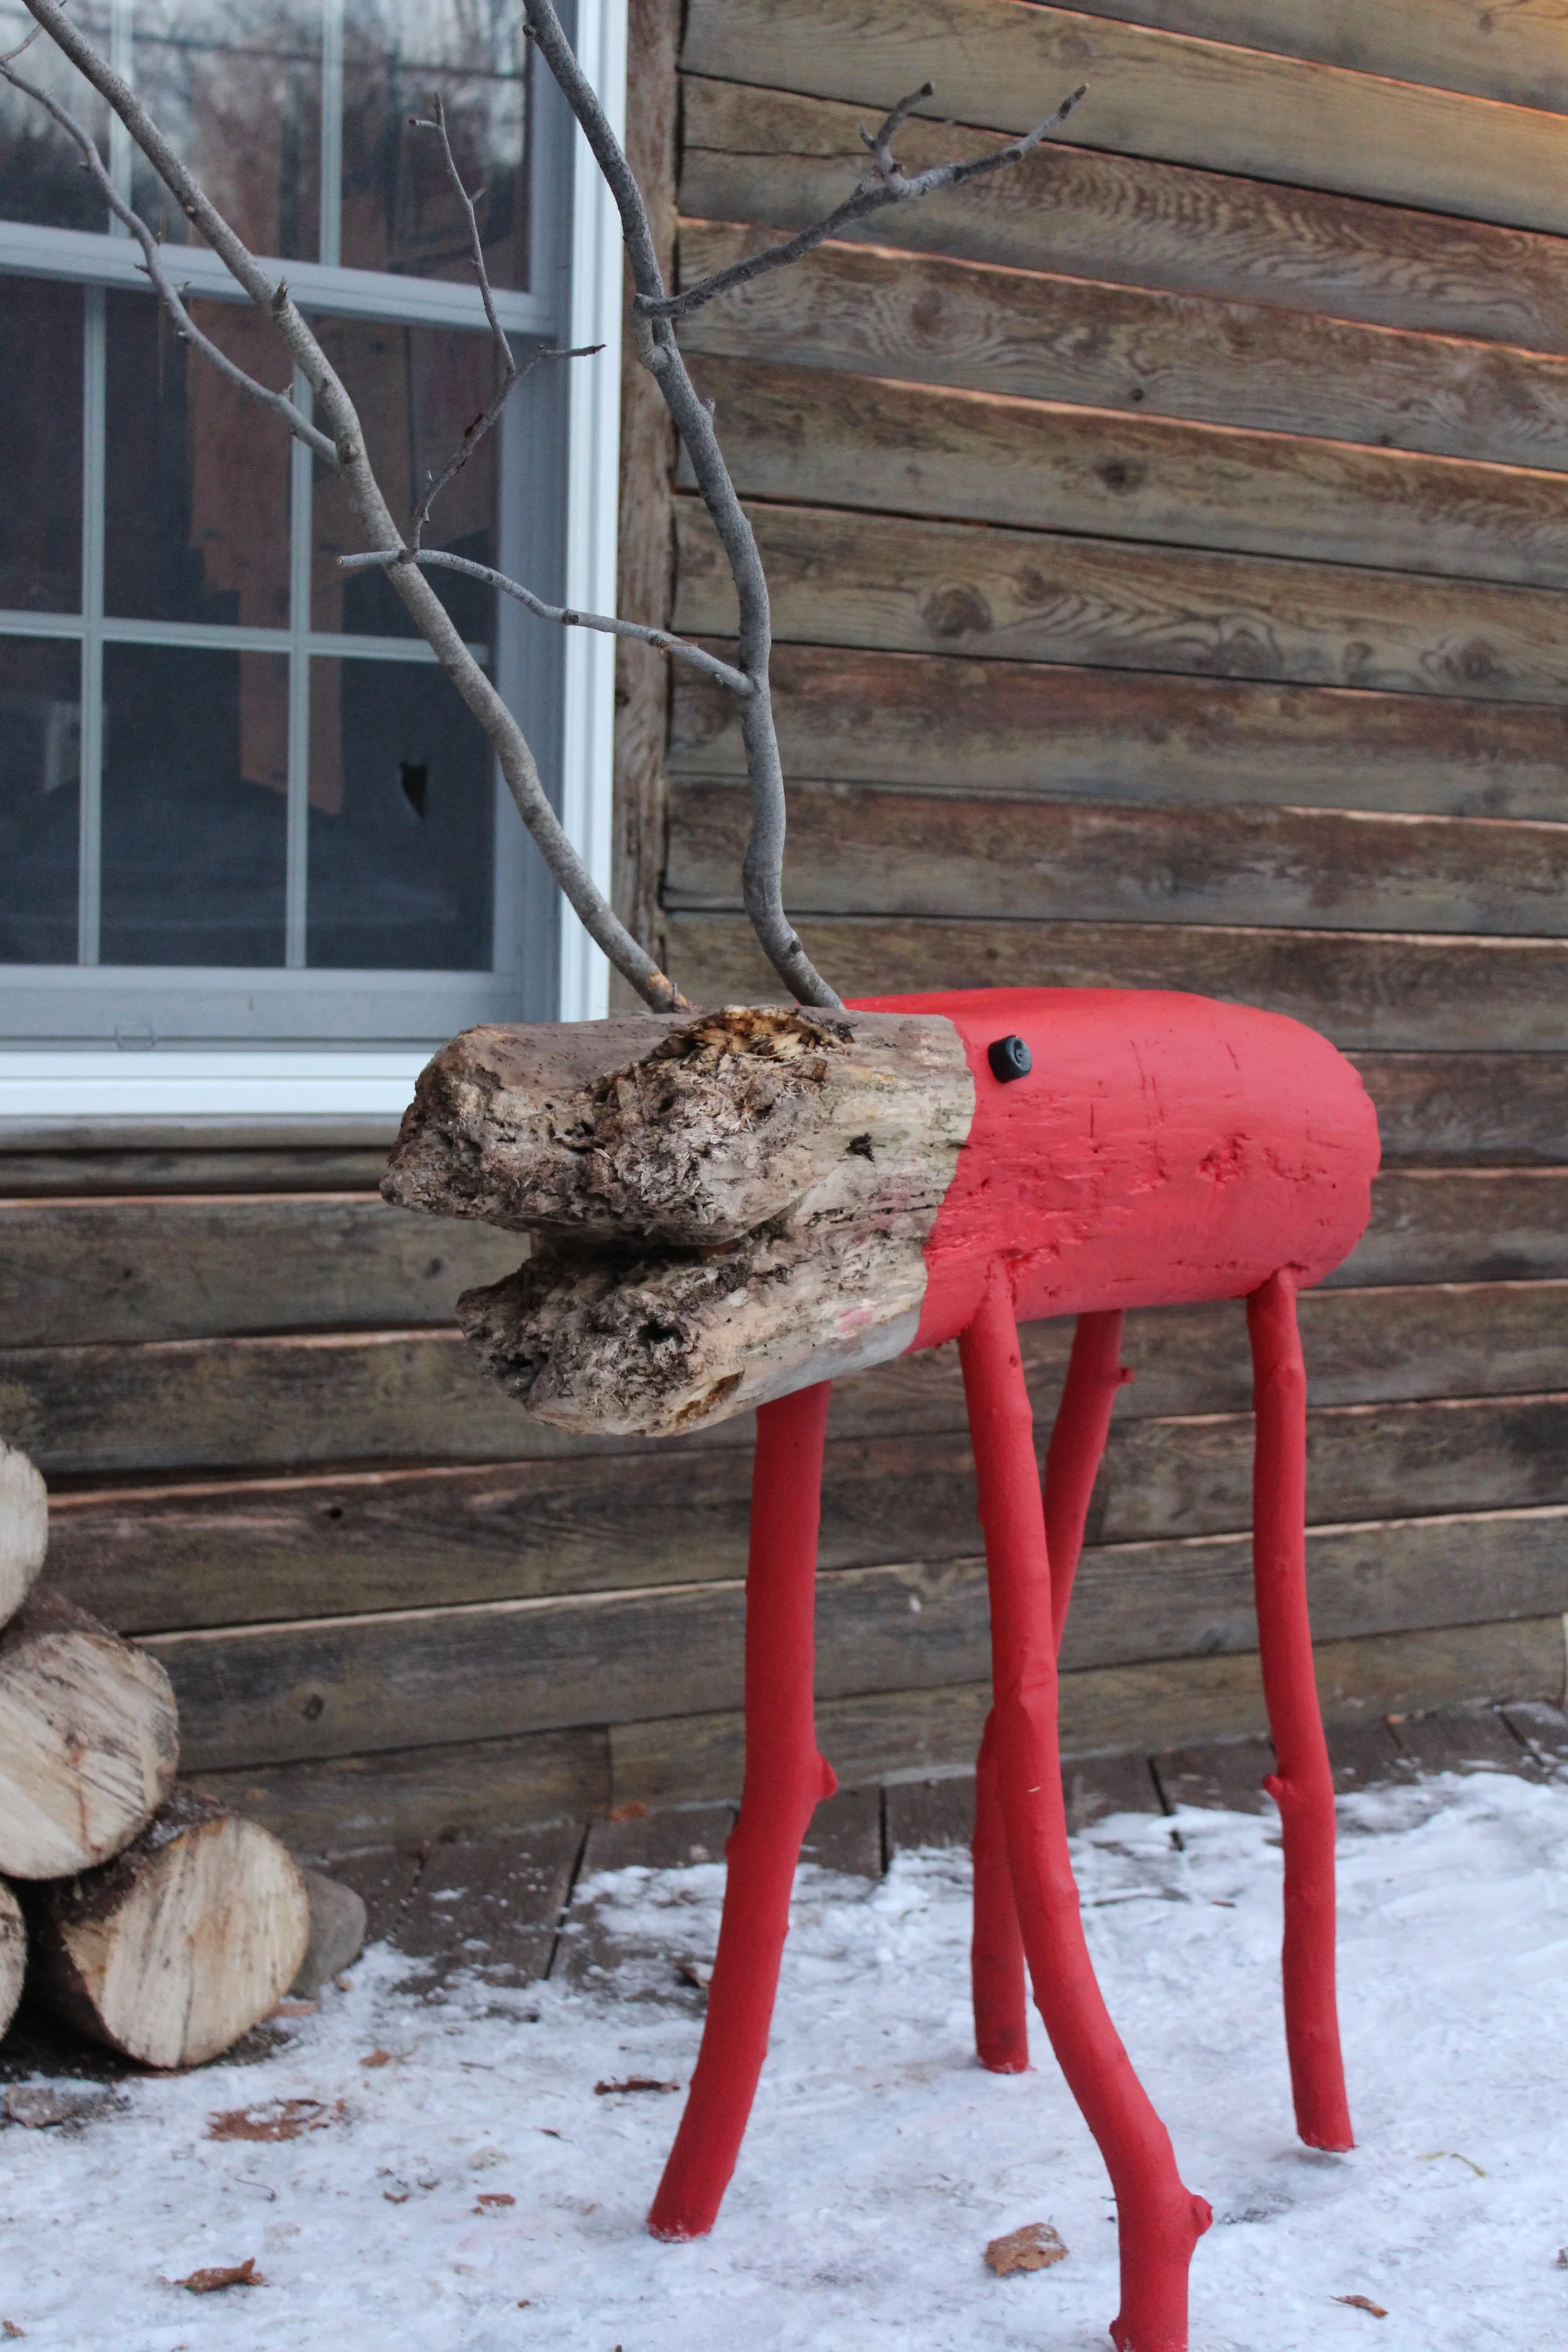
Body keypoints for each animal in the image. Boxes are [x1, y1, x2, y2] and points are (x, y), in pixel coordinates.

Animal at [4, 5, 1378, 2343]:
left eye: (1012, 1060)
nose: (497, 1113)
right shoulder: (920, 1318)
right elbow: (874, 1735)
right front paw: (689, 2217)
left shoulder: (1044, 1291)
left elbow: (1047, 1726)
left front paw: (1158, 2234)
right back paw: (1012, 2053)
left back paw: (1313, 2119)